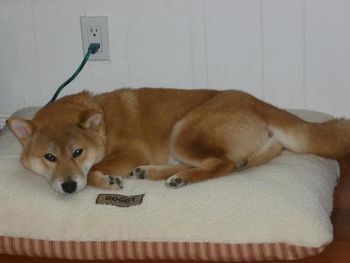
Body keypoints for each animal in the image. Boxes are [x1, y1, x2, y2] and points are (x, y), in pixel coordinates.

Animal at [5, 89, 350, 195]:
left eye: (77, 152)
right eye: (49, 157)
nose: (67, 187)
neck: (103, 126)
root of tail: (260, 103)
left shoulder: (132, 149)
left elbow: (90, 174)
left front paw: (105, 178)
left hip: (183, 132)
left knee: (224, 164)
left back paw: (180, 178)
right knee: (226, 163)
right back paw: (155, 173)